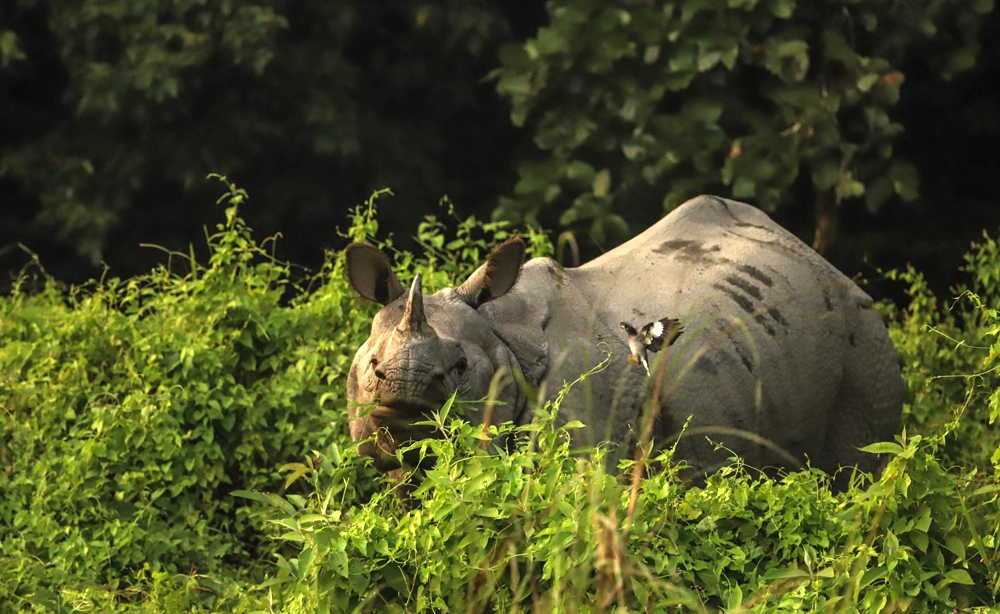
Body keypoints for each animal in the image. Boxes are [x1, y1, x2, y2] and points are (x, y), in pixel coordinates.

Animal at [345, 195, 905, 487]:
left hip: (863, 336)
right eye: (371, 365)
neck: (507, 339)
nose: (403, 390)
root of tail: (820, 260)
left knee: (859, 465)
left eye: (460, 367)